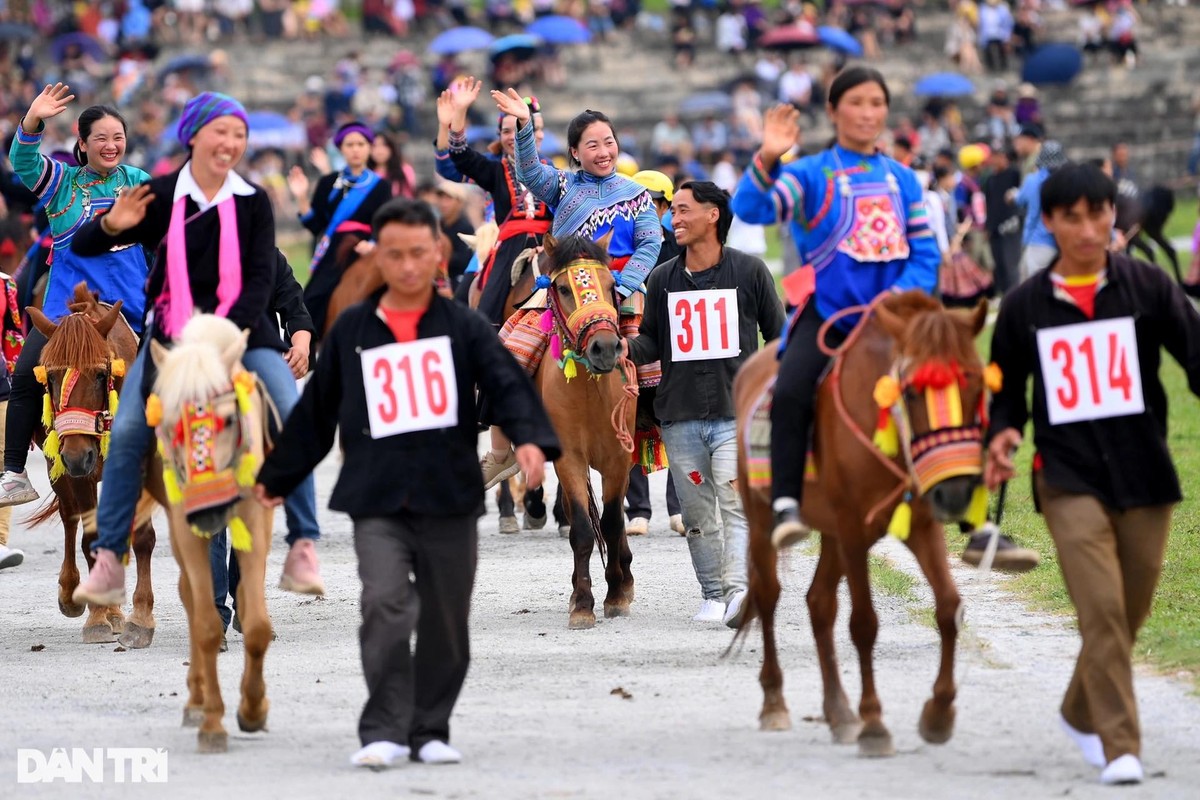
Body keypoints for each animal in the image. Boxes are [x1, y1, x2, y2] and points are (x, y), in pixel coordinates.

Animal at [24, 284, 157, 647]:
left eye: (100, 374)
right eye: (51, 375)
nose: (77, 454)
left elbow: (141, 538)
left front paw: (140, 617)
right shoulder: (77, 474)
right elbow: (90, 538)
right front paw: (98, 616)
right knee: (70, 517)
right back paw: (75, 593)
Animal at [145, 311, 274, 753]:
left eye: (229, 419)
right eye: (171, 424)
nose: (210, 507)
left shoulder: (255, 519)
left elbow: (256, 623)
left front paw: (253, 710)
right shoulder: (186, 528)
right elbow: (203, 623)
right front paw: (213, 722)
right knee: (190, 597)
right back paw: (197, 702)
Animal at [537, 235, 638, 628]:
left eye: (612, 286)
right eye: (564, 289)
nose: (605, 347)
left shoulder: (619, 458)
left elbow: (611, 522)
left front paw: (616, 595)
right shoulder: (569, 458)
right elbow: (581, 528)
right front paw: (582, 604)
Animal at [734, 292, 988, 758]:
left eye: (976, 383)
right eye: (911, 390)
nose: (957, 491)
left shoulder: (921, 525)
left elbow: (949, 608)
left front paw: (938, 713)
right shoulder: (853, 530)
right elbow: (864, 624)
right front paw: (875, 724)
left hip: (832, 533)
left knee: (819, 603)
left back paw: (839, 712)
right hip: (765, 523)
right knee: (769, 597)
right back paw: (775, 702)